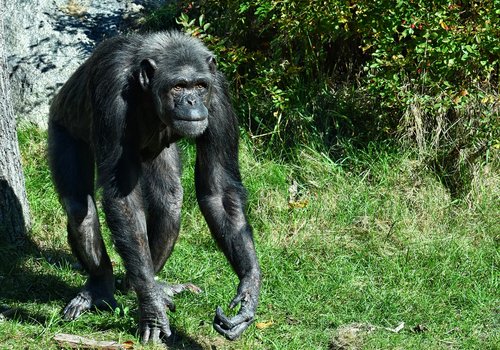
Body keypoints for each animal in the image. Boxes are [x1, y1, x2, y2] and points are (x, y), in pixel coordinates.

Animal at [47, 31, 262, 344]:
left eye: (200, 85)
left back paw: (144, 285)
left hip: (159, 156)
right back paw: (101, 289)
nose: (191, 101)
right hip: (61, 127)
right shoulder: (111, 89)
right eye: (178, 86)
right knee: (78, 208)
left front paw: (249, 289)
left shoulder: (219, 97)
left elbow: (220, 189)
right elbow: (122, 198)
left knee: (169, 203)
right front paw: (152, 311)